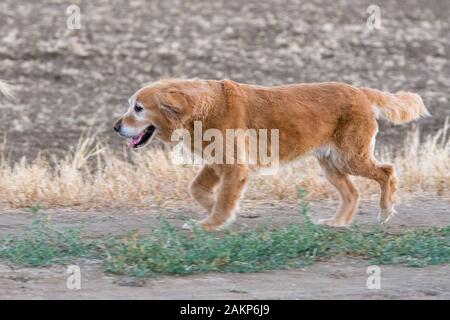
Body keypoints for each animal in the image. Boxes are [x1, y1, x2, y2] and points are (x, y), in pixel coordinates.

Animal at [113, 79, 428, 231]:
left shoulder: (234, 167)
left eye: (138, 108)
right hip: (331, 163)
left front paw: (211, 224)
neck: (203, 107)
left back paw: (385, 210)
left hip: (351, 157)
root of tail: (361, 91)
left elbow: (223, 199)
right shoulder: (217, 162)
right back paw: (337, 223)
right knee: (352, 193)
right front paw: (217, 213)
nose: (116, 127)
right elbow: (198, 189)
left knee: (387, 171)